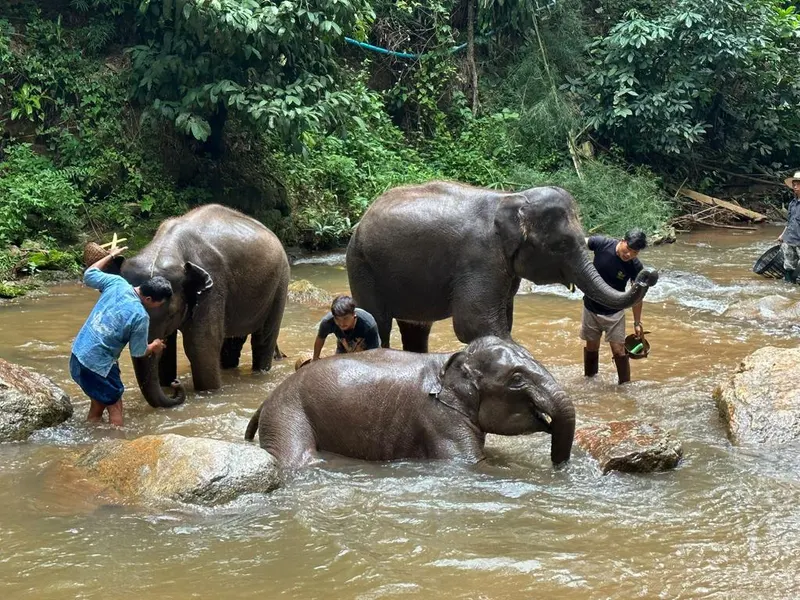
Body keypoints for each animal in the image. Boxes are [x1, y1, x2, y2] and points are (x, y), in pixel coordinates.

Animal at [112, 204, 290, 408]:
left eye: (171, 315)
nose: (175, 384)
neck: (166, 248)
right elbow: (170, 349)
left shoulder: (213, 286)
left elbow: (201, 346)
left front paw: (208, 393)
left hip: (280, 282)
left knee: (263, 339)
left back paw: (260, 372)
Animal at [244, 336, 576, 469]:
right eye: (517, 379)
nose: (557, 466)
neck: (452, 359)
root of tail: (266, 400)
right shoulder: (439, 419)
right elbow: (470, 464)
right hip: (287, 414)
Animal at [346, 181, 659, 352]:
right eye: (560, 246)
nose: (648, 274)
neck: (512, 197)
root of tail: (361, 220)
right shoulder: (479, 257)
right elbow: (475, 324)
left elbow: (500, 323)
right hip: (362, 265)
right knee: (378, 321)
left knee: (416, 329)